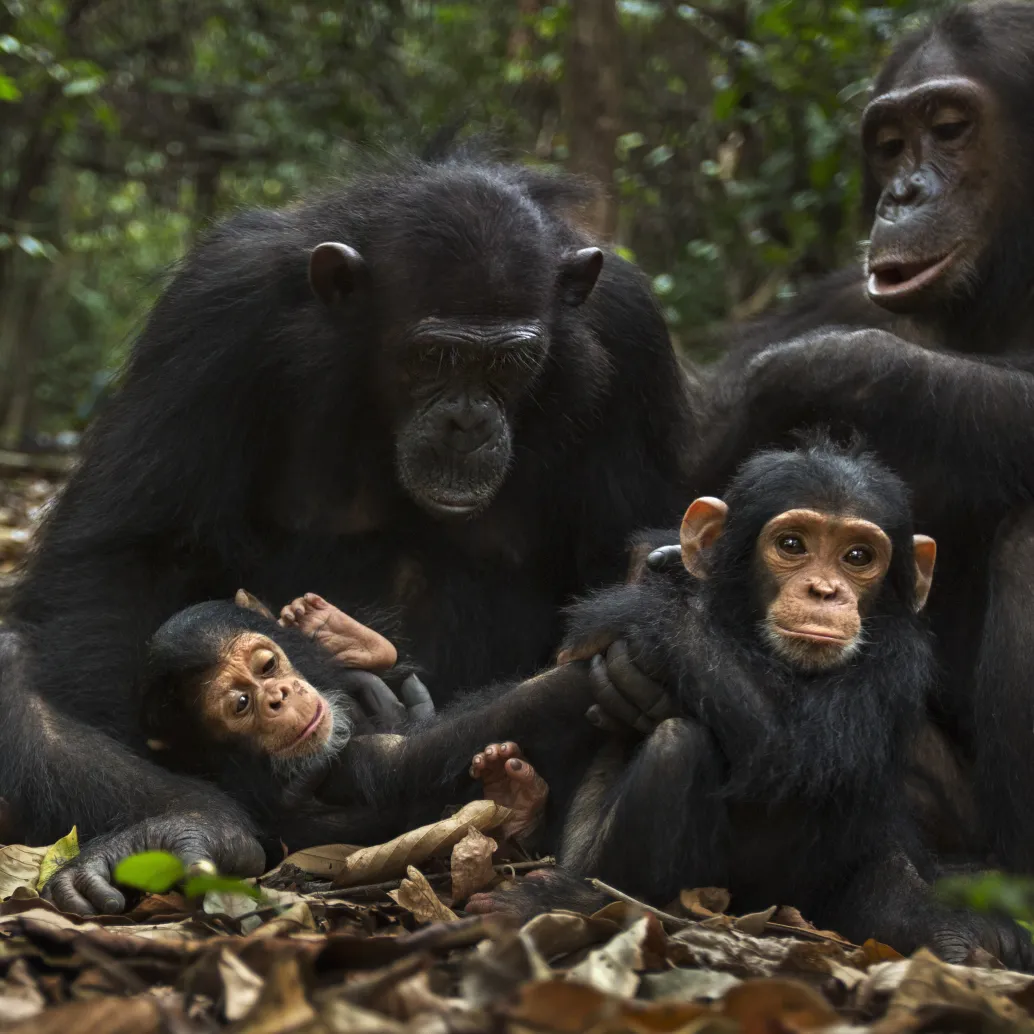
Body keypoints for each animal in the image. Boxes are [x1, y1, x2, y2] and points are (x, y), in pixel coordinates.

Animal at [2, 153, 694, 914]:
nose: (467, 422)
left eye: (508, 364)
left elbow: (631, 540)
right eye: (433, 357)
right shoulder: (215, 307)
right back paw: (184, 825)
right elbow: (130, 551)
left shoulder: (631, 333)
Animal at [139, 442, 1034, 967]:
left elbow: (804, 752)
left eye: (858, 556)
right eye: (792, 544)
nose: (824, 590)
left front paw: (654, 610)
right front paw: (654, 604)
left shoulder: (892, 661)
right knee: (666, 741)